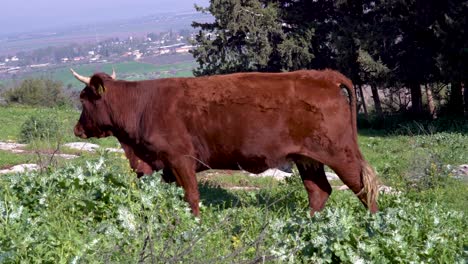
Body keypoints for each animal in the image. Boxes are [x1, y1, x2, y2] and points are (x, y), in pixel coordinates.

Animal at [71, 68, 378, 217]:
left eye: (84, 99)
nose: (77, 129)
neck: (142, 105)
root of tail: (322, 75)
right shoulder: (165, 165)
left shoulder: (180, 159)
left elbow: (191, 195)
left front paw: (194, 223)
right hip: (308, 159)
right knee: (319, 191)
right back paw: (304, 223)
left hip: (340, 153)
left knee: (365, 187)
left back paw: (374, 224)